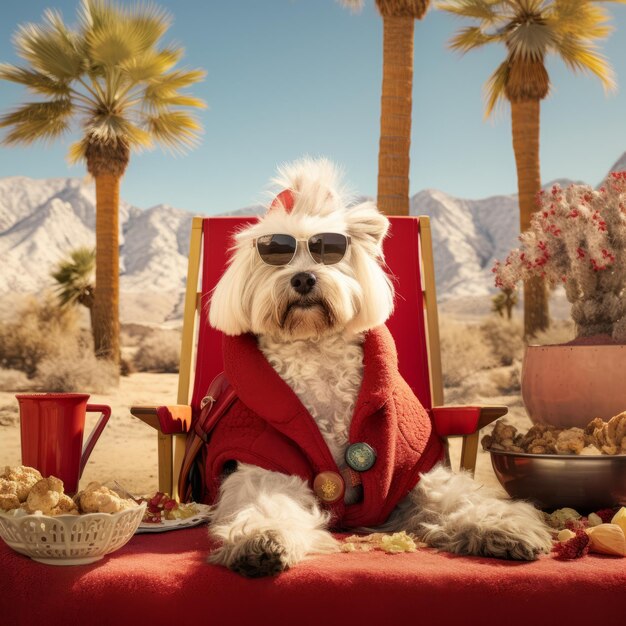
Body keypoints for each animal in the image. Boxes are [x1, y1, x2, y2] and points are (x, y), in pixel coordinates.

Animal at [205, 160, 544, 576]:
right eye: (274, 252)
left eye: (329, 251)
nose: (303, 278)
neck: (316, 348)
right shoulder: (264, 463)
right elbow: (266, 500)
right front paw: (262, 538)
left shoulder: (411, 470)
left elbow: (455, 496)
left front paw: (502, 526)